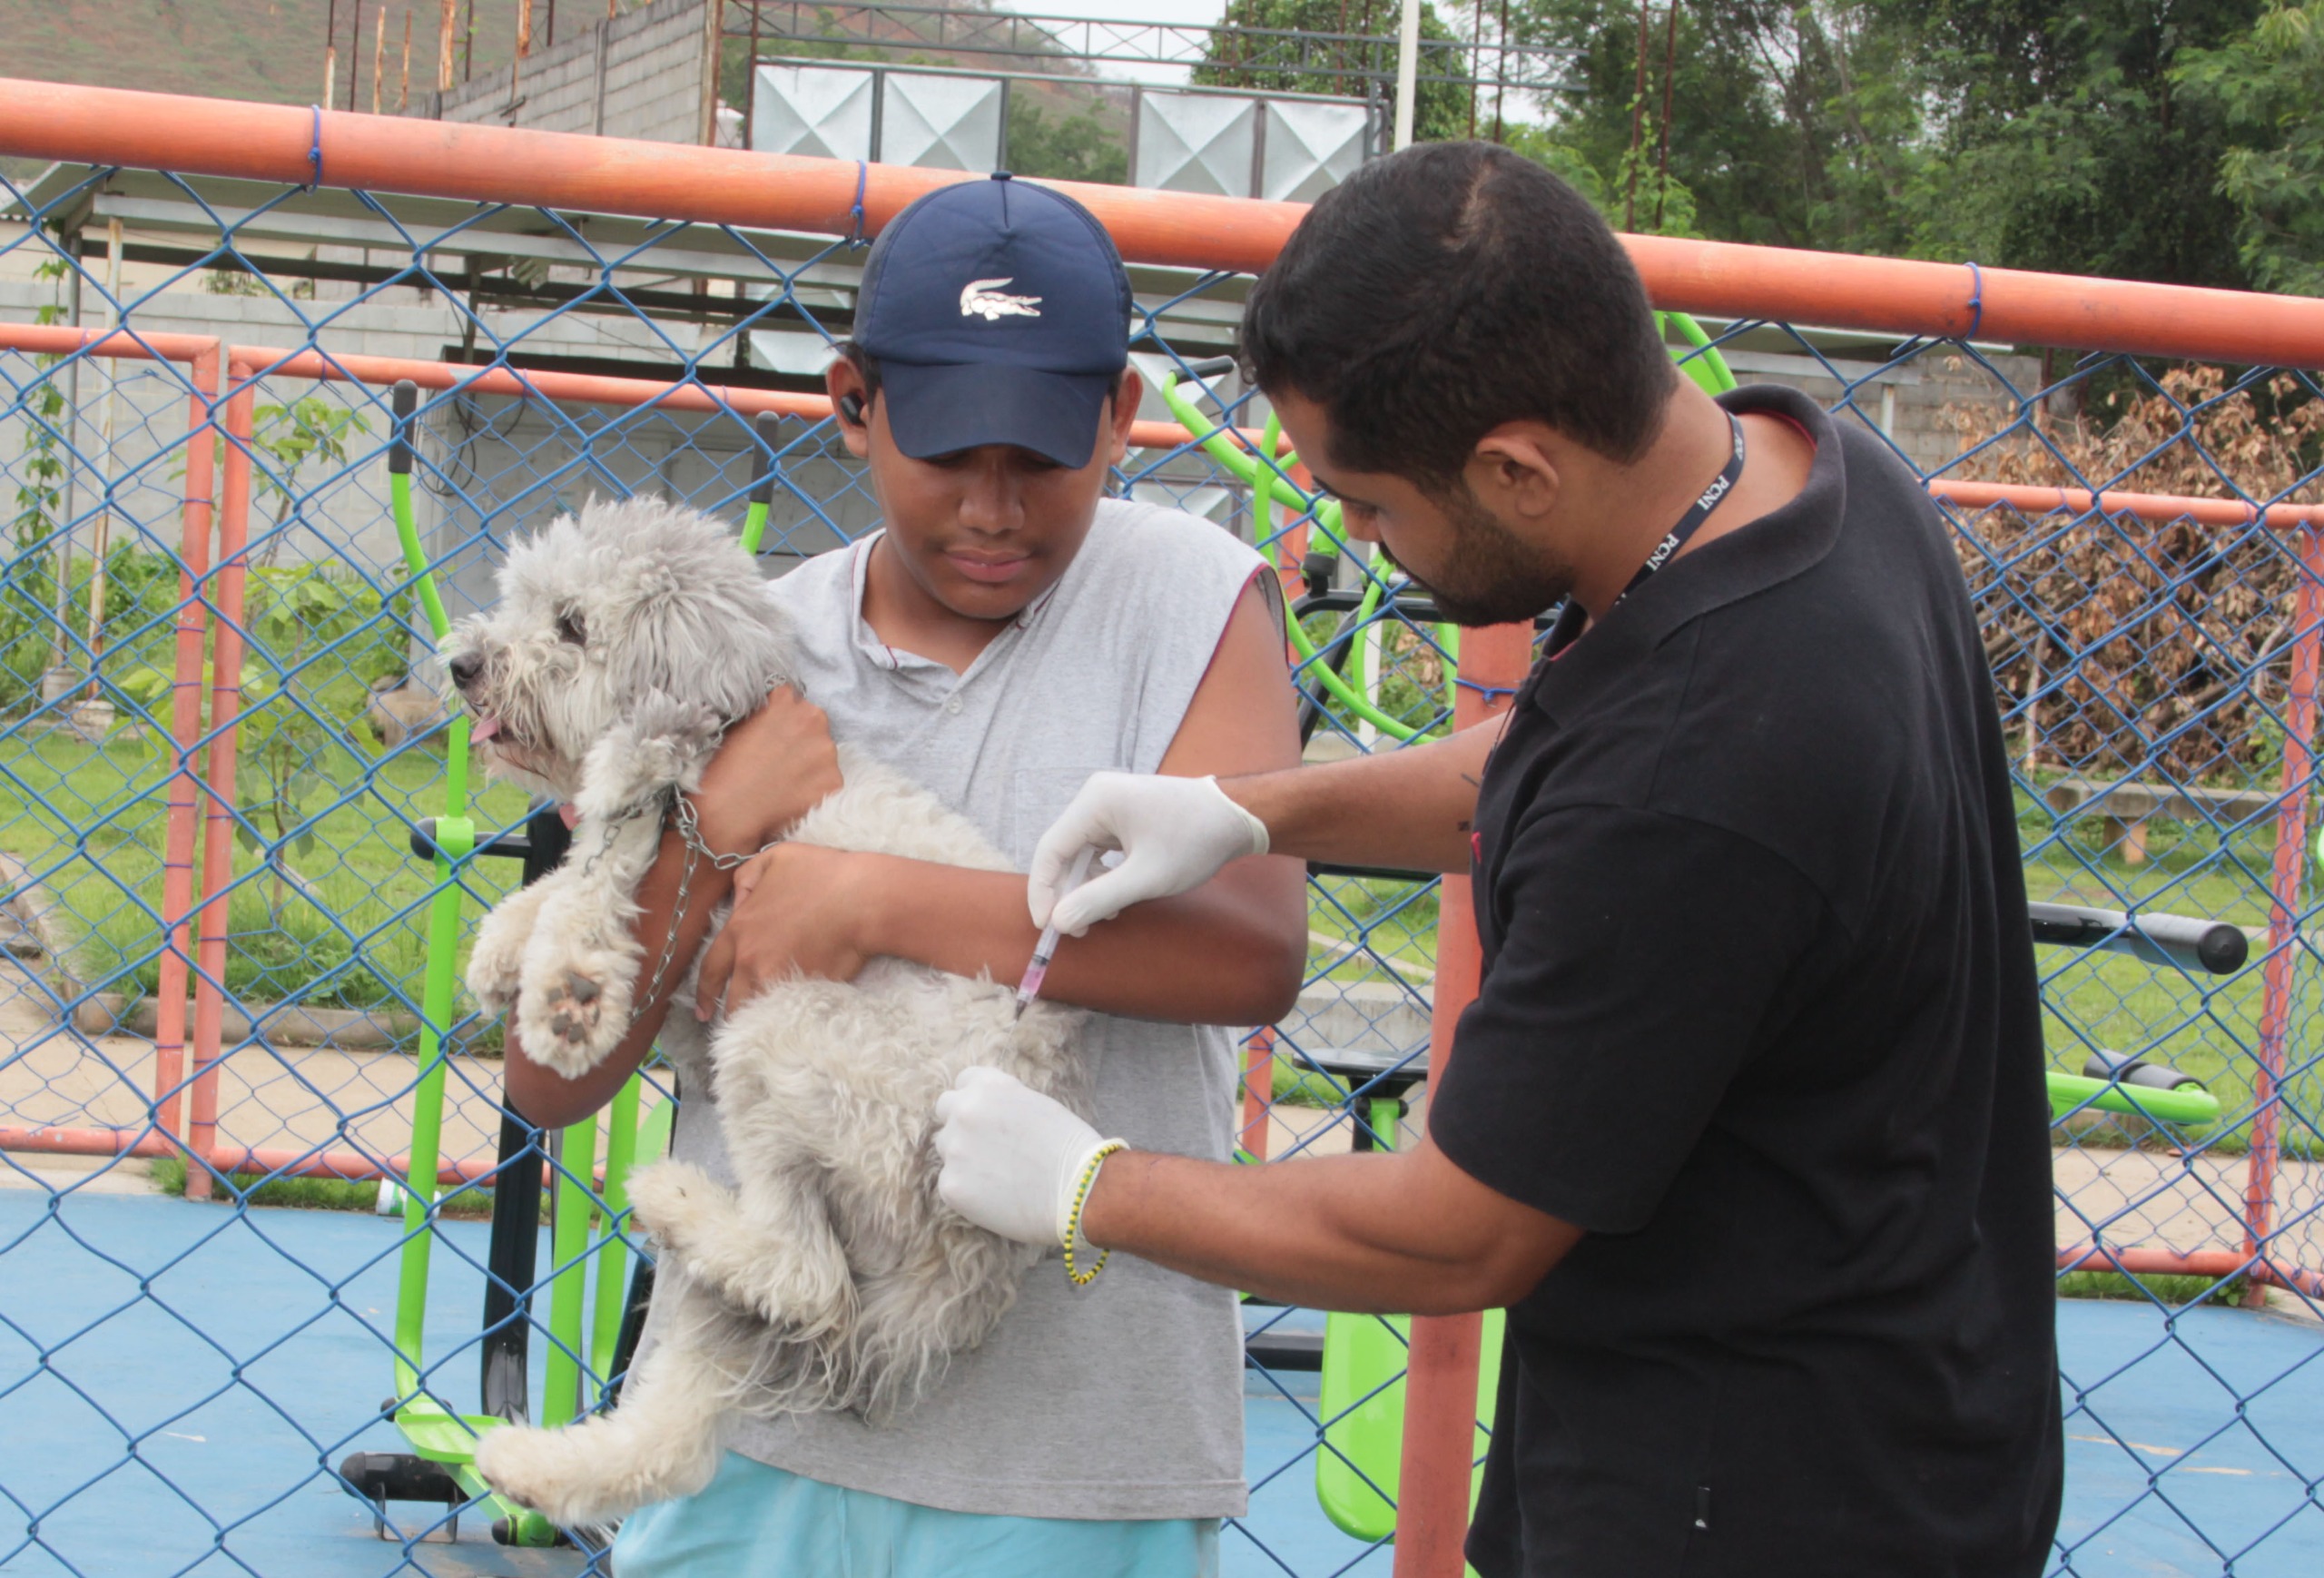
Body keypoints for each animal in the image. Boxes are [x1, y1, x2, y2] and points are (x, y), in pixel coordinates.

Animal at [448, 497, 1092, 1534]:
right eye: (520, 602)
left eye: (571, 625)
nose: (463, 664)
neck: (726, 714)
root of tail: (967, 1260)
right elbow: (569, 877)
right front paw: (506, 946)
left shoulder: (653, 778)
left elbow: (595, 868)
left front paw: (566, 993)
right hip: (746, 1279)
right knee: (680, 1432)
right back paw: (531, 1466)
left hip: (783, 1032)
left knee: (802, 1272)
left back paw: (673, 1197)